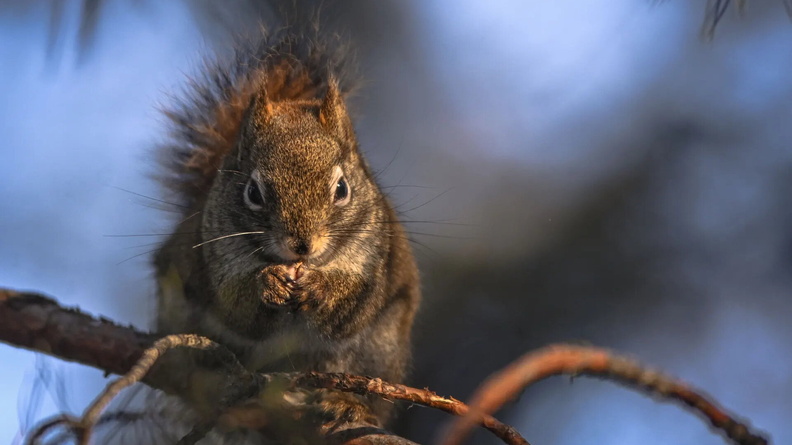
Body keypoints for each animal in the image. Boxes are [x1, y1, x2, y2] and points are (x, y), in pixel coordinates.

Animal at [151, 25, 421, 437]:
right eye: (253, 192)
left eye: (342, 189)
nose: (301, 246)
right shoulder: (215, 254)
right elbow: (236, 307)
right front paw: (269, 283)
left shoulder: (375, 257)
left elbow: (351, 307)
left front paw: (319, 287)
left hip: (380, 349)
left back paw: (347, 403)